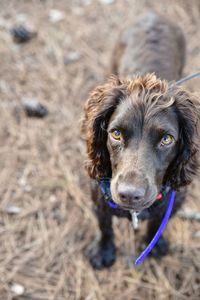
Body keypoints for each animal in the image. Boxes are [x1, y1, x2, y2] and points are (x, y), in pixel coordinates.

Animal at [81, 11, 200, 270]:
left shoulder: (175, 201)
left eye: (166, 139)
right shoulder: (98, 198)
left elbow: (157, 224)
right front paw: (103, 251)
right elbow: (104, 226)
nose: (130, 194)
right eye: (116, 134)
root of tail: (153, 13)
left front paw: (154, 245)